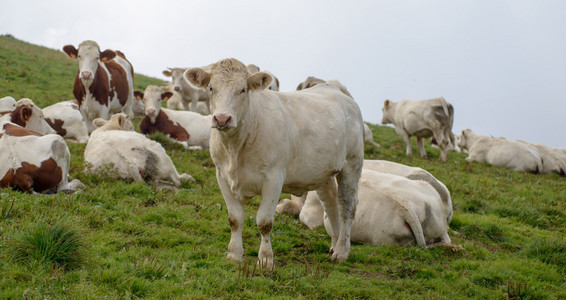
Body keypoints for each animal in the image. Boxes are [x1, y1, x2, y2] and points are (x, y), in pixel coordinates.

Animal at [184, 58, 366, 268]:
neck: (235, 149)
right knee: (330, 203)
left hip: (352, 163)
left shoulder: (274, 177)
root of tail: (333, 86)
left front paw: (265, 260)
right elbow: (235, 219)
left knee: (347, 205)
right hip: (323, 172)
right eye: (211, 88)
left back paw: (342, 251)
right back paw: (335, 244)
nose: (222, 119)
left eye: (243, 89)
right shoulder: (222, 176)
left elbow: (264, 222)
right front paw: (234, 254)